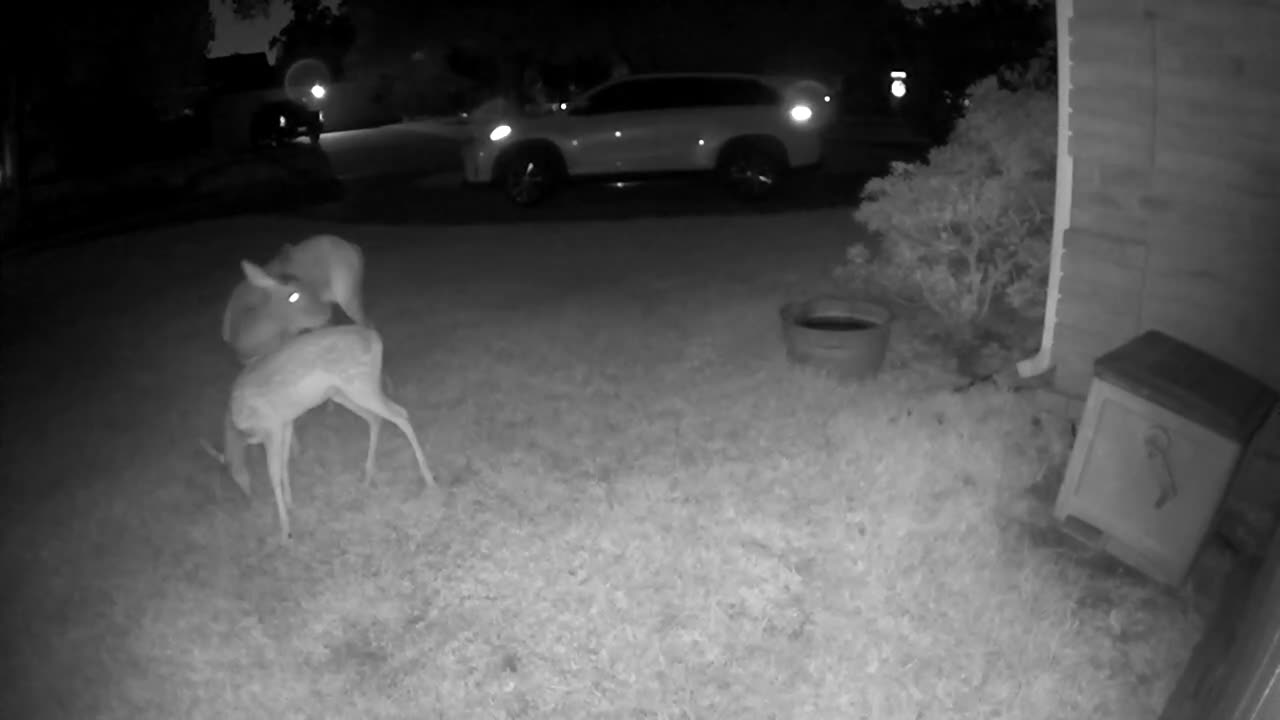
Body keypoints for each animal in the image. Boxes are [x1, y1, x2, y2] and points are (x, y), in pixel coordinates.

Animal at [222, 322, 437, 540]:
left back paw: (429, 479)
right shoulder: (286, 423)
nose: (249, 499)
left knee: (400, 414)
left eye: (234, 475)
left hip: (359, 385)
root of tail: (375, 337)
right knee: (375, 418)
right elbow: (284, 464)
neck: (238, 424)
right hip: (342, 393)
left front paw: (285, 530)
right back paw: (367, 478)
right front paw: (291, 504)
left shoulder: (271, 426)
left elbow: (273, 474)